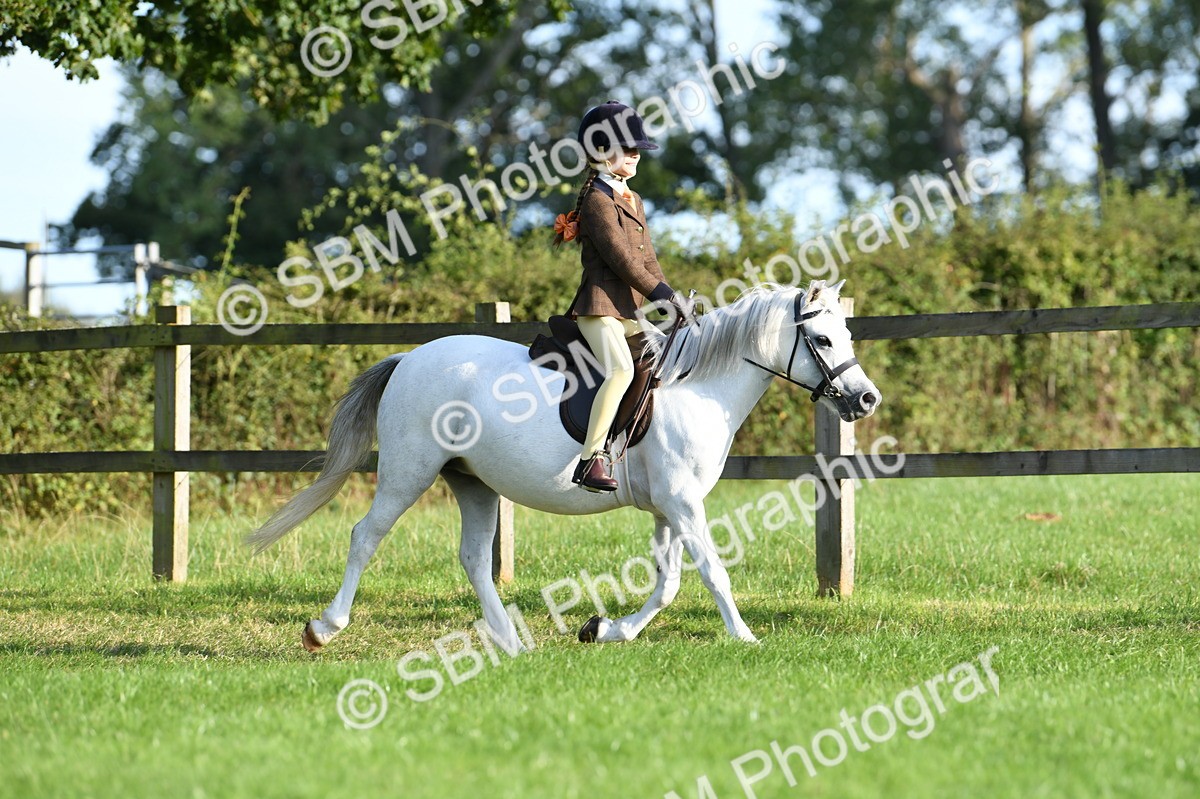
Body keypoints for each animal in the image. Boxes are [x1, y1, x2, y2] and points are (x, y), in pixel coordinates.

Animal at [247, 280, 880, 651]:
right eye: (824, 339)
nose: (866, 399)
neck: (697, 386)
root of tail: (409, 357)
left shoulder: (669, 508)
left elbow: (668, 582)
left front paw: (606, 629)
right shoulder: (682, 504)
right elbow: (711, 572)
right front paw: (745, 637)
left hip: (473, 483)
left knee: (473, 558)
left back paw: (509, 640)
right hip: (409, 473)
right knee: (366, 536)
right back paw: (324, 628)